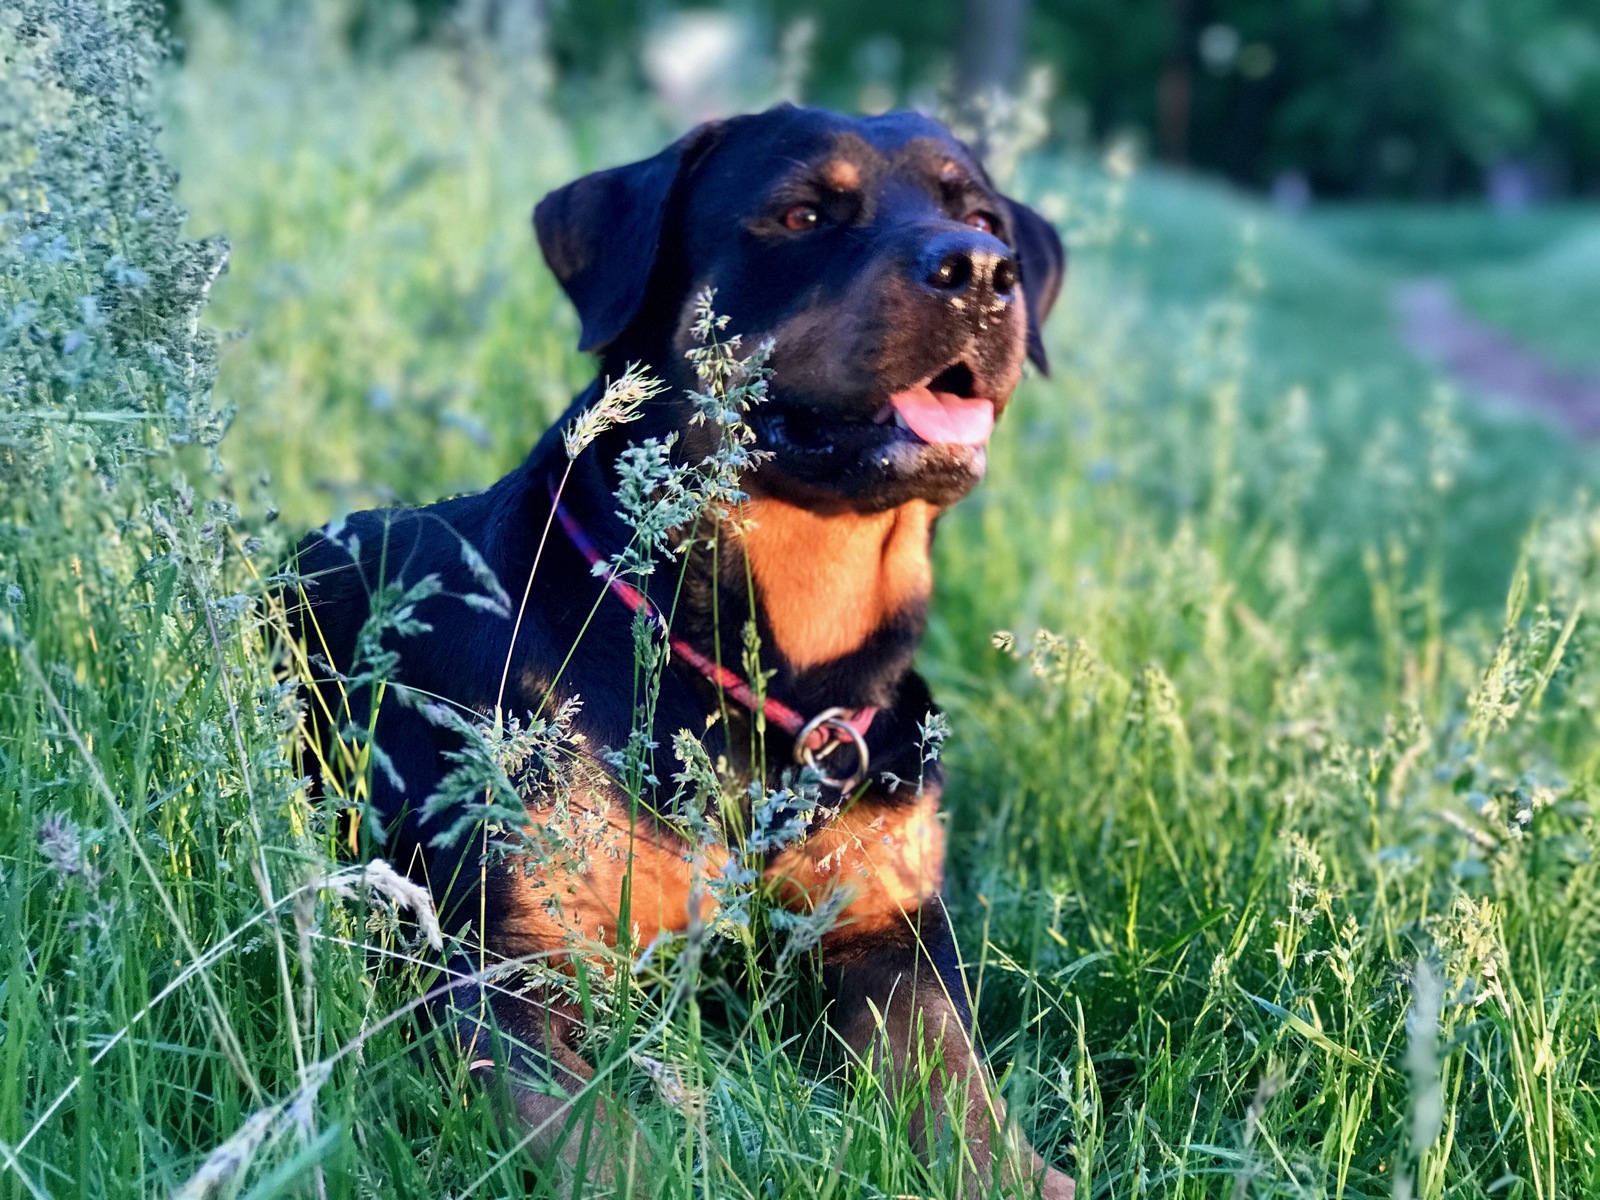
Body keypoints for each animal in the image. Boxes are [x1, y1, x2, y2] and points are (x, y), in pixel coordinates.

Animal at [297, 108, 1075, 1196]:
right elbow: (603, 1141)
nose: (978, 270)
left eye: (985, 218)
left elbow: (962, 1090)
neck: (769, 671)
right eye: (801, 215)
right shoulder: (500, 964)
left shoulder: (890, 931)